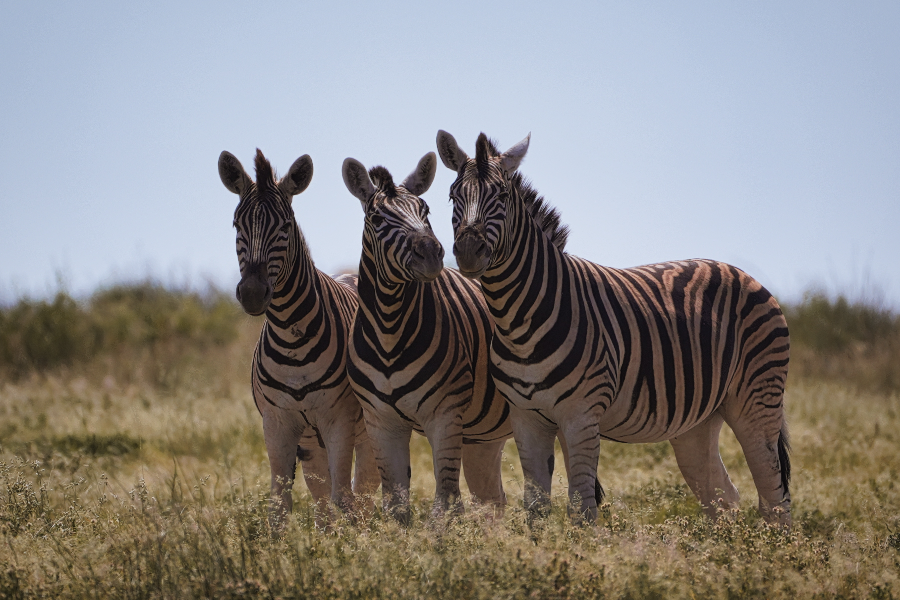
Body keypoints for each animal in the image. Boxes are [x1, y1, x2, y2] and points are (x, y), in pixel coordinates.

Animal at [218, 150, 380, 528]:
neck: (292, 339)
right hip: (310, 438)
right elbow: (280, 505)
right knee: (322, 497)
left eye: (285, 226)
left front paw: (352, 544)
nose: (252, 293)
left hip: (366, 425)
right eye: (237, 225)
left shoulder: (337, 420)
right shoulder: (278, 424)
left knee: (363, 488)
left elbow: (344, 498)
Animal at [340, 152, 510, 524]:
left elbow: (445, 502)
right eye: (376, 218)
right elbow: (396, 506)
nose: (432, 253)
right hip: (483, 436)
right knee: (493, 499)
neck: (389, 331)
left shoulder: (445, 414)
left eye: (426, 210)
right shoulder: (381, 422)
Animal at [440, 131, 792, 524]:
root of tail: (743, 274)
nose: (468, 251)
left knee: (774, 495)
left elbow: (581, 508)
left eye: (501, 195)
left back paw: (772, 543)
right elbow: (535, 508)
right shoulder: (526, 418)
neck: (518, 320)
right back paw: (726, 542)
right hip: (698, 421)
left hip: (755, 400)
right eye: (453, 196)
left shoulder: (580, 416)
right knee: (723, 496)